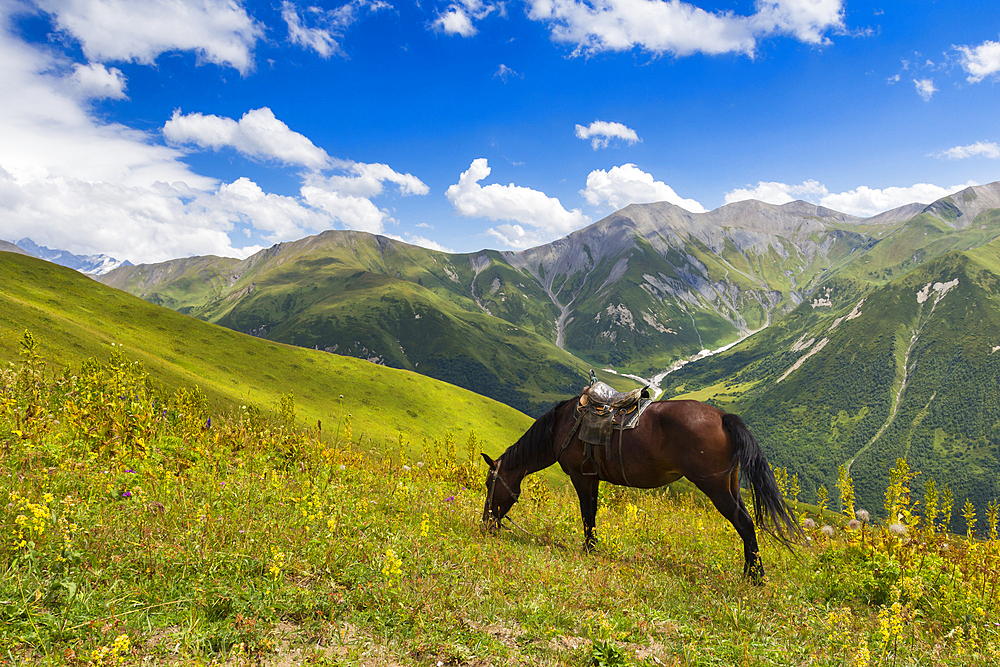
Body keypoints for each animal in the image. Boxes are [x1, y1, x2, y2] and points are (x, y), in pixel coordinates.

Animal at [480, 396, 800, 584]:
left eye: (489, 483)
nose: (485, 525)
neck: (564, 424)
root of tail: (723, 417)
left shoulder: (582, 477)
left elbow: (587, 514)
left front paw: (588, 548)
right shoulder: (593, 478)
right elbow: (591, 512)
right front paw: (592, 547)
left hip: (715, 487)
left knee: (744, 524)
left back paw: (755, 578)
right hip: (730, 485)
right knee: (746, 524)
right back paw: (750, 572)